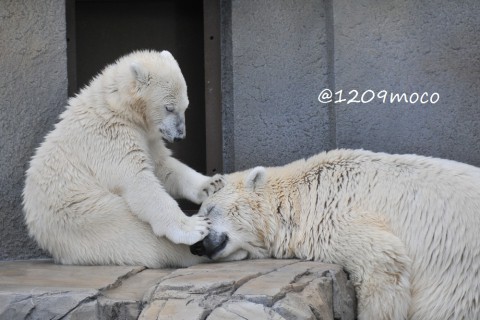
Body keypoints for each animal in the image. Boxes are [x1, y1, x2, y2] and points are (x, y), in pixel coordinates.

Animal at [23, 50, 222, 268]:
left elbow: (162, 165)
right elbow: (138, 181)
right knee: (140, 237)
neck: (117, 106)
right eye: (169, 107)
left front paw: (212, 183)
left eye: (185, 106)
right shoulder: (109, 137)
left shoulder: (146, 137)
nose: (179, 136)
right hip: (85, 215)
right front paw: (194, 227)